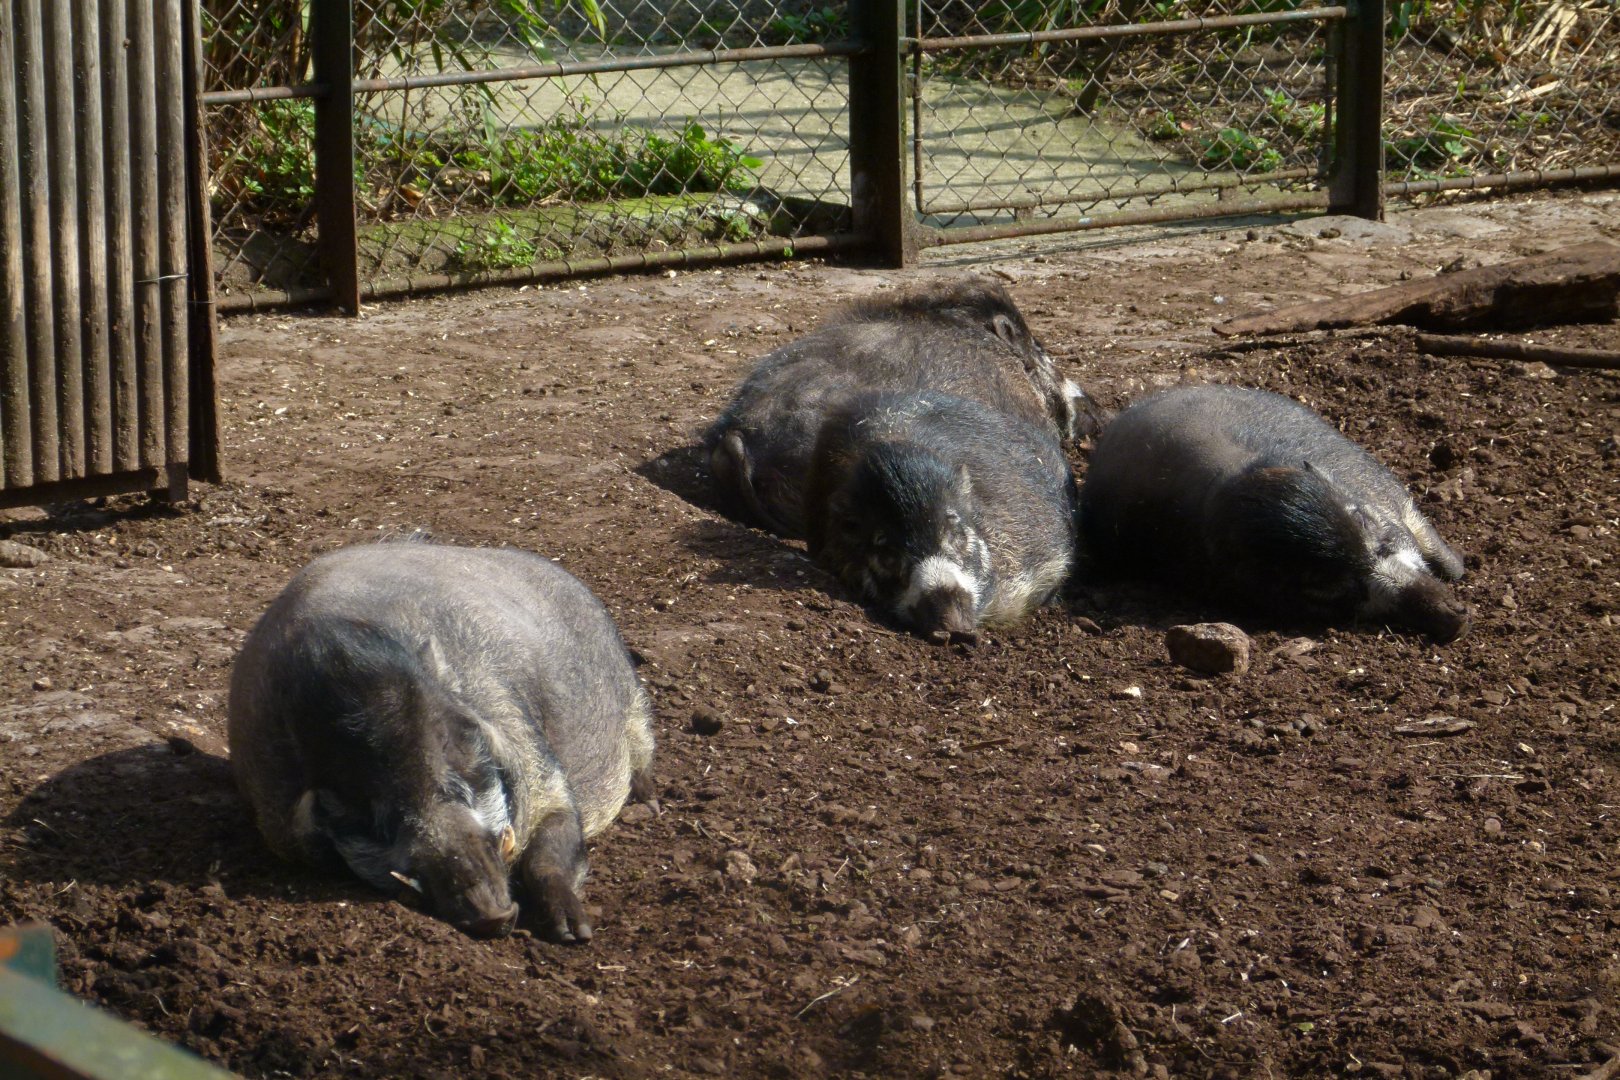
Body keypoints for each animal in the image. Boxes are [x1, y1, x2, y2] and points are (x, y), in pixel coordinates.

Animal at [227, 540, 656, 942]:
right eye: (369, 807)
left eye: (452, 749)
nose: (492, 917)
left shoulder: (541, 770)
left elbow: (551, 848)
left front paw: (573, 934)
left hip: (637, 706)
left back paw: (648, 806)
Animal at [1079, 385, 1468, 641]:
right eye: (1323, 583)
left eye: (1363, 522)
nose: (1457, 614)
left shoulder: (1392, 495)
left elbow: (1444, 558)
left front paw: (1460, 570)